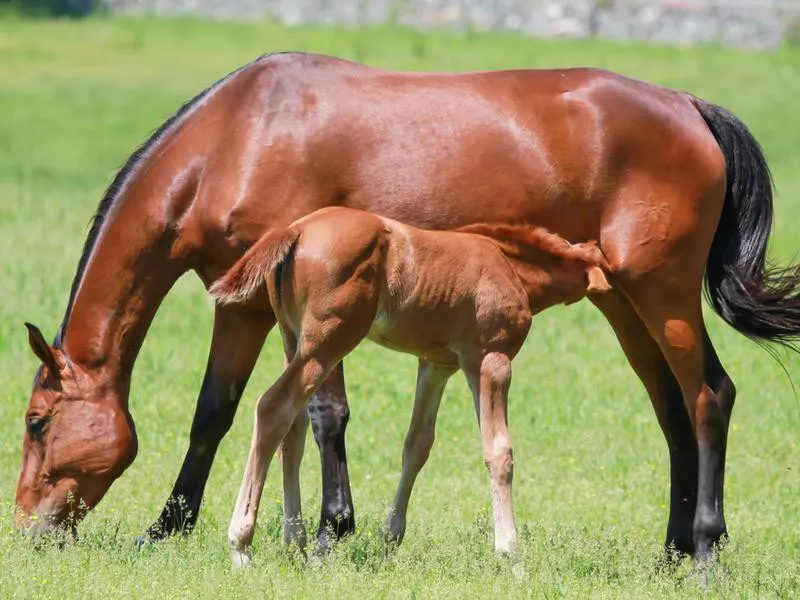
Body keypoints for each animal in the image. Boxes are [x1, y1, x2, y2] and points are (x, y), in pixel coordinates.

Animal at [209, 204, 608, 564]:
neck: (508, 265)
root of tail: (296, 230)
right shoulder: (492, 361)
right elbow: (498, 451)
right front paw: (510, 553)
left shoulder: (437, 365)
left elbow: (417, 445)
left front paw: (391, 538)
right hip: (327, 342)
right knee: (273, 407)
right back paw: (242, 545)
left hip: (292, 339)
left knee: (294, 427)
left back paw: (296, 543)